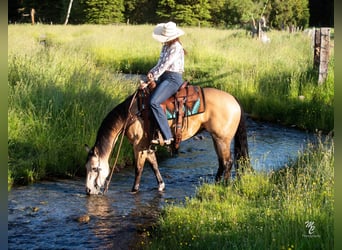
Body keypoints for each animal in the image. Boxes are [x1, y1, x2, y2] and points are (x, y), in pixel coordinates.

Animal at [85, 82, 248, 195]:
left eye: (94, 168)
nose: (88, 191)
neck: (132, 114)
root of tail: (234, 100)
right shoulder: (147, 146)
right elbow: (154, 165)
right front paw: (161, 186)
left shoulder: (139, 146)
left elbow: (139, 169)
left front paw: (134, 190)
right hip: (216, 138)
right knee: (222, 162)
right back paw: (216, 183)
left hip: (222, 139)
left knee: (227, 162)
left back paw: (224, 186)